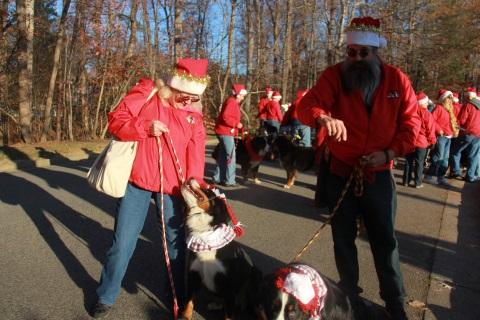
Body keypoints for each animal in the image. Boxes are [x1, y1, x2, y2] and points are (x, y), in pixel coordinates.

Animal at [180, 179, 262, 318]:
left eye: (208, 190)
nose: (190, 178)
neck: (205, 234)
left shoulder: (229, 287)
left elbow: (228, 315)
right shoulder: (193, 276)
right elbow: (188, 303)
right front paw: (185, 316)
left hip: (253, 281)